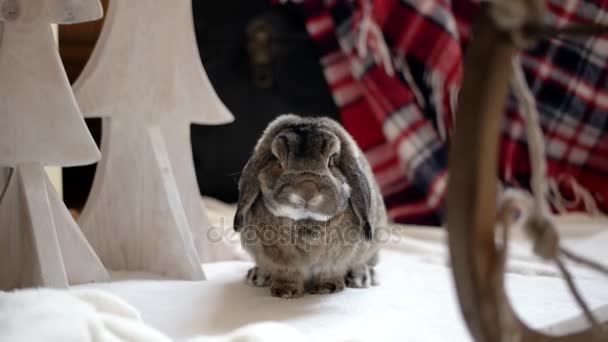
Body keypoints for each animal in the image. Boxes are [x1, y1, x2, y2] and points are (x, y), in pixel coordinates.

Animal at [233, 113, 384, 298]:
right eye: (277, 159)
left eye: (332, 160)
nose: (307, 191)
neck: (306, 221)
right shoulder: (282, 261)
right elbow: (287, 273)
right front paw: (285, 292)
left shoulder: (334, 261)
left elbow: (328, 272)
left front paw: (326, 288)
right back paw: (258, 276)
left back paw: (361, 277)